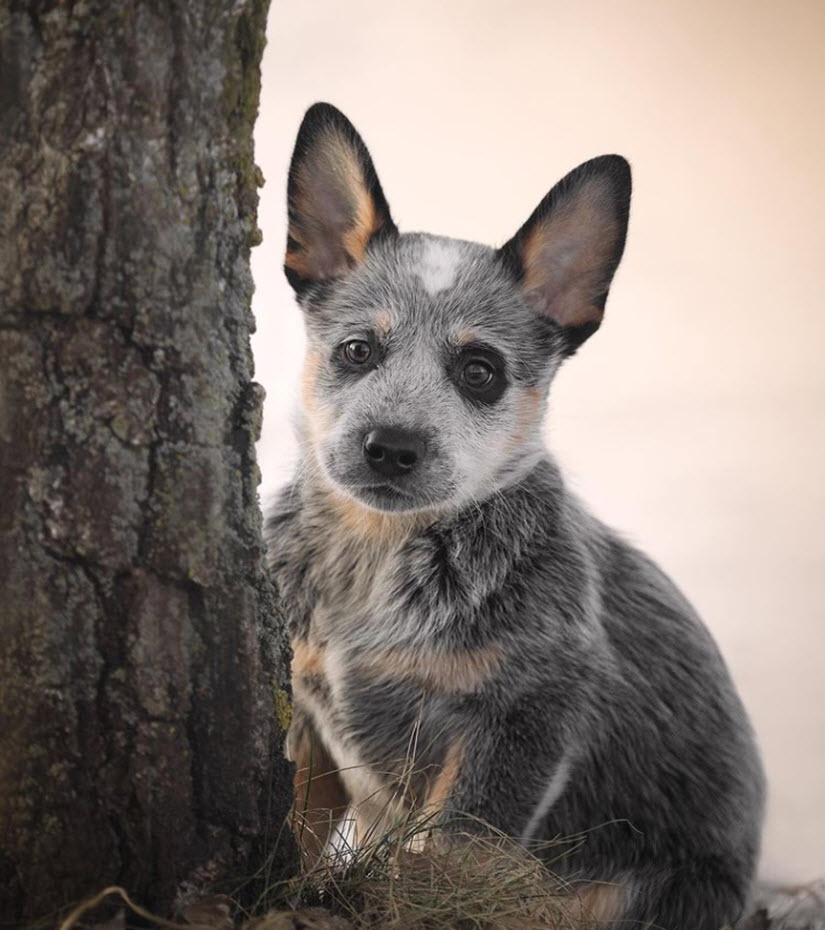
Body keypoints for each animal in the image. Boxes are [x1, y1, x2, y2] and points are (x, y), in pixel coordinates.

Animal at [268, 103, 764, 928]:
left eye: (480, 371)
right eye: (356, 350)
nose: (390, 447)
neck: (375, 559)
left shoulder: (524, 717)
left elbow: (449, 856)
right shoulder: (307, 714)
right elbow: (295, 831)